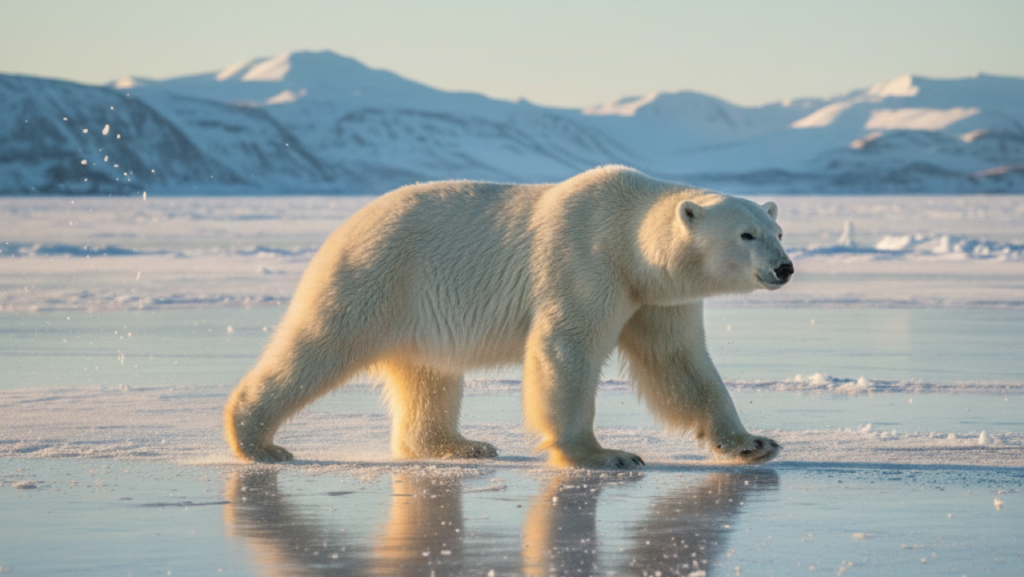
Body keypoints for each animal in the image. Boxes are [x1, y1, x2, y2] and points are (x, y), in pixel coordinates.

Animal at [224, 165, 793, 468]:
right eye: (746, 234)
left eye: (777, 231)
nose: (784, 267)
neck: (626, 237)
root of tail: (344, 226)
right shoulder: (583, 263)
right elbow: (566, 350)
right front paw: (604, 455)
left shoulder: (655, 297)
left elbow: (679, 365)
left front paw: (754, 444)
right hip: (377, 276)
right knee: (319, 346)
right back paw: (260, 444)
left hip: (415, 308)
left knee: (429, 375)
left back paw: (462, 445)